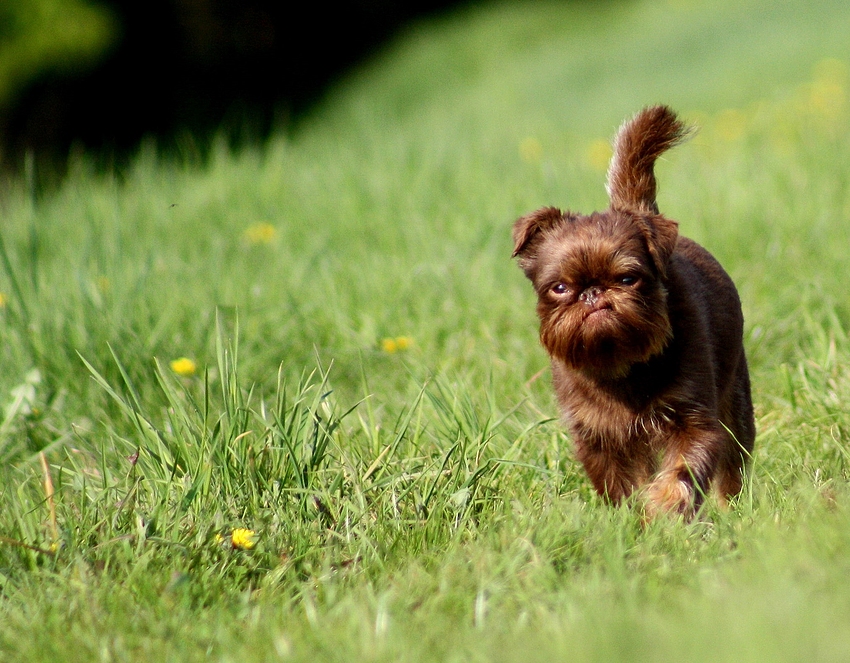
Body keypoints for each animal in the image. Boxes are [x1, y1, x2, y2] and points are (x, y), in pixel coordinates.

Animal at [512, 105, 752, 520]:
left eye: (627, 278)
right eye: (559, 288)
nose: (593, 293)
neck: (621, 368)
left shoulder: (695, 421)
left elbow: (683, 470)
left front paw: (666, 505)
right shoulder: (597, 440)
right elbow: (620, 488)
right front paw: (632, 522)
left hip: (736, 399)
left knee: (732, 469)